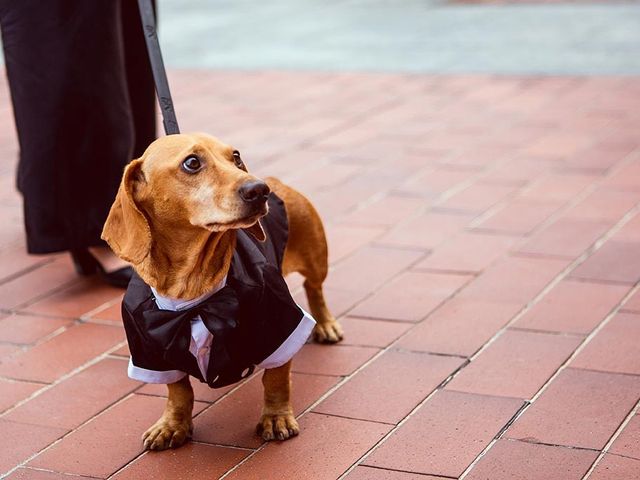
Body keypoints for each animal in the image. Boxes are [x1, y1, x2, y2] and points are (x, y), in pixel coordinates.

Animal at [102, 131, 342, 450]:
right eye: (192, 162)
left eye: (236, 157)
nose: (259, 190)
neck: (193, 291)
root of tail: (277, 181)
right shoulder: (149, 347)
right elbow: (178, 390)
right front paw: (172, 425)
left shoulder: (279, 323)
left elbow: (276, 379)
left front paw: (276, 418)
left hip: (316, 261)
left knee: (315, 290)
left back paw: (326, 324)